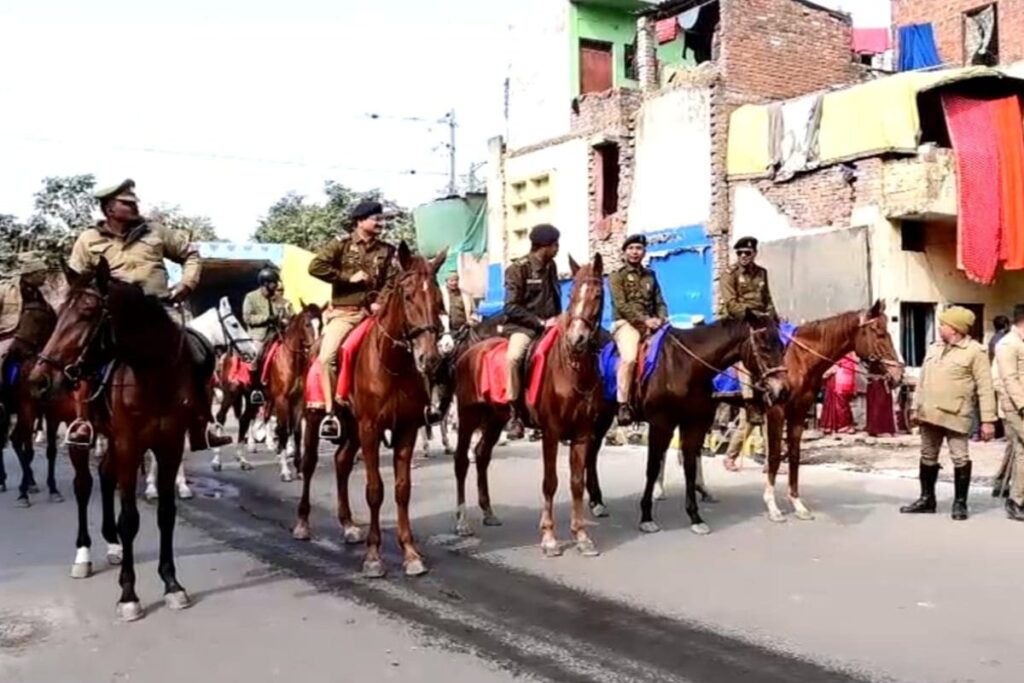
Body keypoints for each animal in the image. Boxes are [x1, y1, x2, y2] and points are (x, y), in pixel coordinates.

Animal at [30, 259, 214, 622]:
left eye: (87, 312)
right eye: (60, 314)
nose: (40, 379)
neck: (154, 376)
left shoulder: (169, 445)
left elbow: (166, 513)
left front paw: (172, 584)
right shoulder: (129, 444)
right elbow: (129, 519)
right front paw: (129, 595)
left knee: (104, 475)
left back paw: (113, 545)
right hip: (81, 434)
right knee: (84, 485)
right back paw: (84, 555)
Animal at [260, 305, 319, 481]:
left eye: (321, 324)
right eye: (307, 324)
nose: (316, 348)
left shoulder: (298, 400)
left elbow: (297, 432)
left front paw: (299, 469)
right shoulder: (282, 400)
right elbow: (284, 431)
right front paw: (285, 470)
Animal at [292, 242, 444, 581]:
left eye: (438, 298)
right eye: (408, 295)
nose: (429, 359)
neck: (393, 364)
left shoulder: (406, 429)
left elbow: (402, 490)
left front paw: (410, 553)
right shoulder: (371, 428)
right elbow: (375, 489)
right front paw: (374, 556)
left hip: (352, 427)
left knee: (341, 461)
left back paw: (348, 524)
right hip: (317, 417)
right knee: (309, 463)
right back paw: (303, 523)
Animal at [452, 253, 602, 557]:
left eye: (598, 294)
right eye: (572, 294)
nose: (577, 339)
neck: (570, 368)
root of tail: (468, 351)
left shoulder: (582, 434)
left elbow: (577, 483)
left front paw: (581, 536)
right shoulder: (552, 432)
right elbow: (550, 482)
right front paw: (549, 538)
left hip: (495, 420)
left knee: (482, 455)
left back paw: (488, 512)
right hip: (468, 416)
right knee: (462, 460)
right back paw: (463, 522)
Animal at [761, 301, 905, 520]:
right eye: (879, 333)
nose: (898, 374)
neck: (798, 360)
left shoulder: (799, 411)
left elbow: (794, 455)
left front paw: (797, 504)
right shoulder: (776, 411)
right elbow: (775, 456)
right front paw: (772, 506)